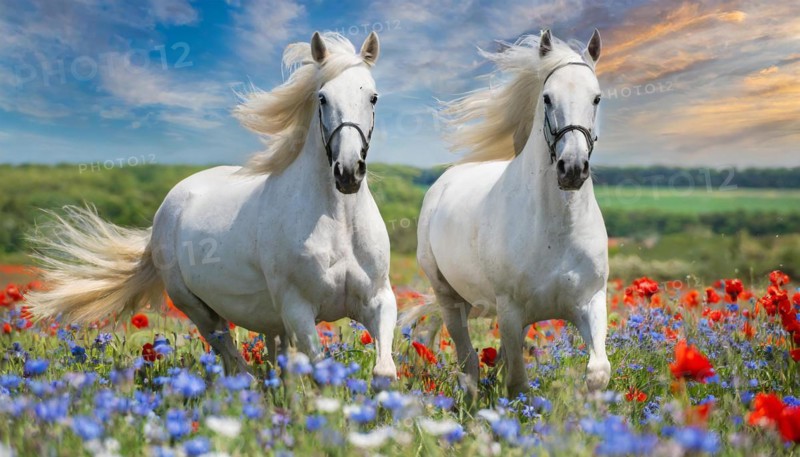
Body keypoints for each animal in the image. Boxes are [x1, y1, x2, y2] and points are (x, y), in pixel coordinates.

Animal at [27, 32, 398, 380]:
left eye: (373, 96)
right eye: (322, 97)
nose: (347, 172)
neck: (338, 221)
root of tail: (166, 210)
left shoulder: (378, 299)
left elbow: (384, 370)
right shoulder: (298, 310)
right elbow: (320, 371)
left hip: (268, 319)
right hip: (198, 309)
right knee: (233, 358)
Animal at [409, 29, 609, 398]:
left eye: (596, 98)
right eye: (547, 98)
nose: (572, 169)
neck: (557, 230)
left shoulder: (590, 301)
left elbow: (598, 372)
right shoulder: (510, 311)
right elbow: (517, 384)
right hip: (450, 298)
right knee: (468, 363)